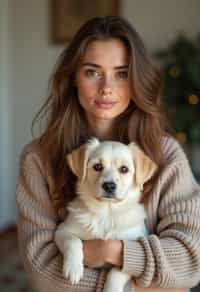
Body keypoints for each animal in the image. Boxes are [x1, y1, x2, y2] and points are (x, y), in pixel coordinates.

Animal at [55, 139, 158, 292]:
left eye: (124, 169)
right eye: (97, 166)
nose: (109, 186)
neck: (106, 213)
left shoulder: (130, 249)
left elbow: (116, 273)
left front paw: (111, 288)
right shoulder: (62, 230)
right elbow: (72, 241)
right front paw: (73, 268)